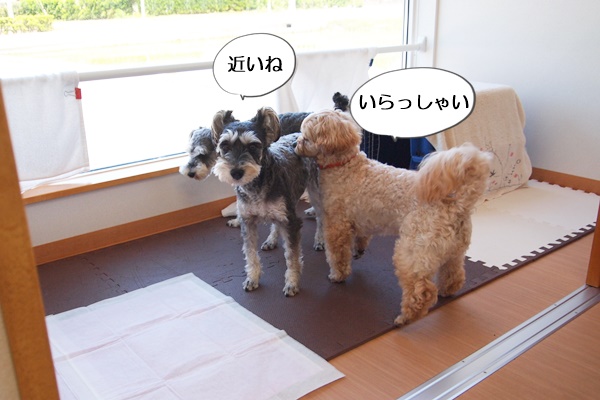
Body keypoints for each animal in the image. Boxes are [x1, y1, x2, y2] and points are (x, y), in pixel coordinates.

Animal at [211, 107, 322, 296]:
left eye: (253, 146)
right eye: (224, 145)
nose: (236, 172)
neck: (256, 184)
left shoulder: (291, 222)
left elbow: (292, 256)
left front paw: (292, 283)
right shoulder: (248, 222)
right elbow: (250, 255)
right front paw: (252, 278)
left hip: (316, 192)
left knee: (322, 218)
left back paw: (320, 240)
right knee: (276, 223)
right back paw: (271, 240)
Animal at [295, 109, 491, 327]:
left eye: (306, 137)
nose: (295, 144)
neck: (345, 165)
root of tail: (456, 205)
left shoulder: (337, 225)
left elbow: (337, 256)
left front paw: (337, 275)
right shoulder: (361, 220)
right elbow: (361, 237)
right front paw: (358, 250)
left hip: (413, 250)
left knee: (421, 289)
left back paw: (406, 317)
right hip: (454, 250)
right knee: (454, 273)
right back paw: (447, 291)